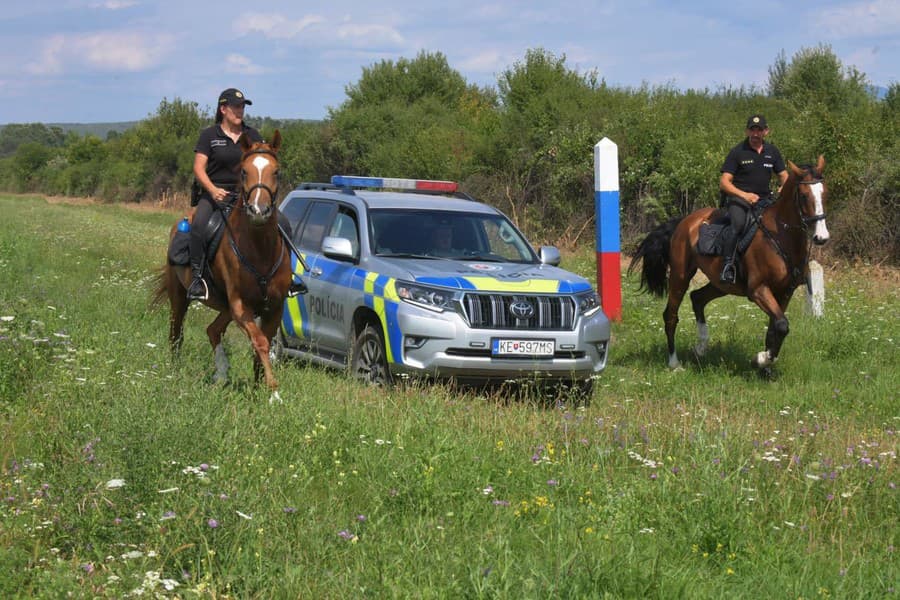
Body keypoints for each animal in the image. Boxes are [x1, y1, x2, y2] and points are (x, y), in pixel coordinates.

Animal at [152, 130, 292, 394]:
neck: (260, 249)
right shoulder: (240, 306)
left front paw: (260, 386)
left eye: (277, 171)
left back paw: (221, 374)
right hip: (180, 296)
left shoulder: (274, 307)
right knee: (176, 332)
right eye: (244, 171)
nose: (258, 211)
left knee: (213, 330)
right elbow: (260, 342)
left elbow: (262, 344)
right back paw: (175, 372)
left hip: (225, 308)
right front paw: (273, 389)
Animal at [624, 157, 828, 372]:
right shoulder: (759, 290)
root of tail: (684, 222)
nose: (821, 237)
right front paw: (760, 359)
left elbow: (775, 328)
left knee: (697, 298)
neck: (780, 236)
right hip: (680, 277)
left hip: (721, 284)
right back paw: (674, 363)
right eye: (804, 196)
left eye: (824, 193)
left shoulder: (785, 291)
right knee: (671, 315)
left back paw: (701, 347)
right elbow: (781, 325)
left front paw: (766, 367)